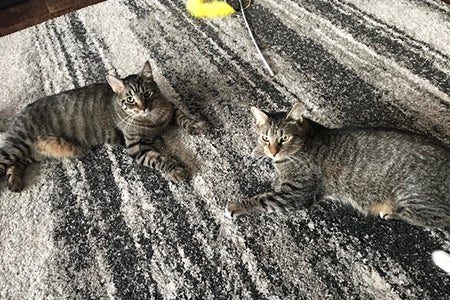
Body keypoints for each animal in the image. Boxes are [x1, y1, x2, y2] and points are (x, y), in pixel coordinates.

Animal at [0, 61, 206, 192]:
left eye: (147, 93)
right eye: (130, 100)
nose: (143, 107)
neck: (152, 120)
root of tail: (19, 113)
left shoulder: (170, 109)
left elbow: (183, 117)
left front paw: (196, 125)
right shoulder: (137, 148)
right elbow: (160, 159)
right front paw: (176, 170)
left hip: (31, 153)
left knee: (16, 164)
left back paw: (14, 181)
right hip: (18, 146)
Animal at [227, 102, 450, 227]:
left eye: (285, 138)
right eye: (265, 138)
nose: (273, 151)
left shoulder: (296, 193)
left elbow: (264, 199)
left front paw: (237, 205)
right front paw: (258, 151)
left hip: (413, 193)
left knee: (440, 220)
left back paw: (392, 213)